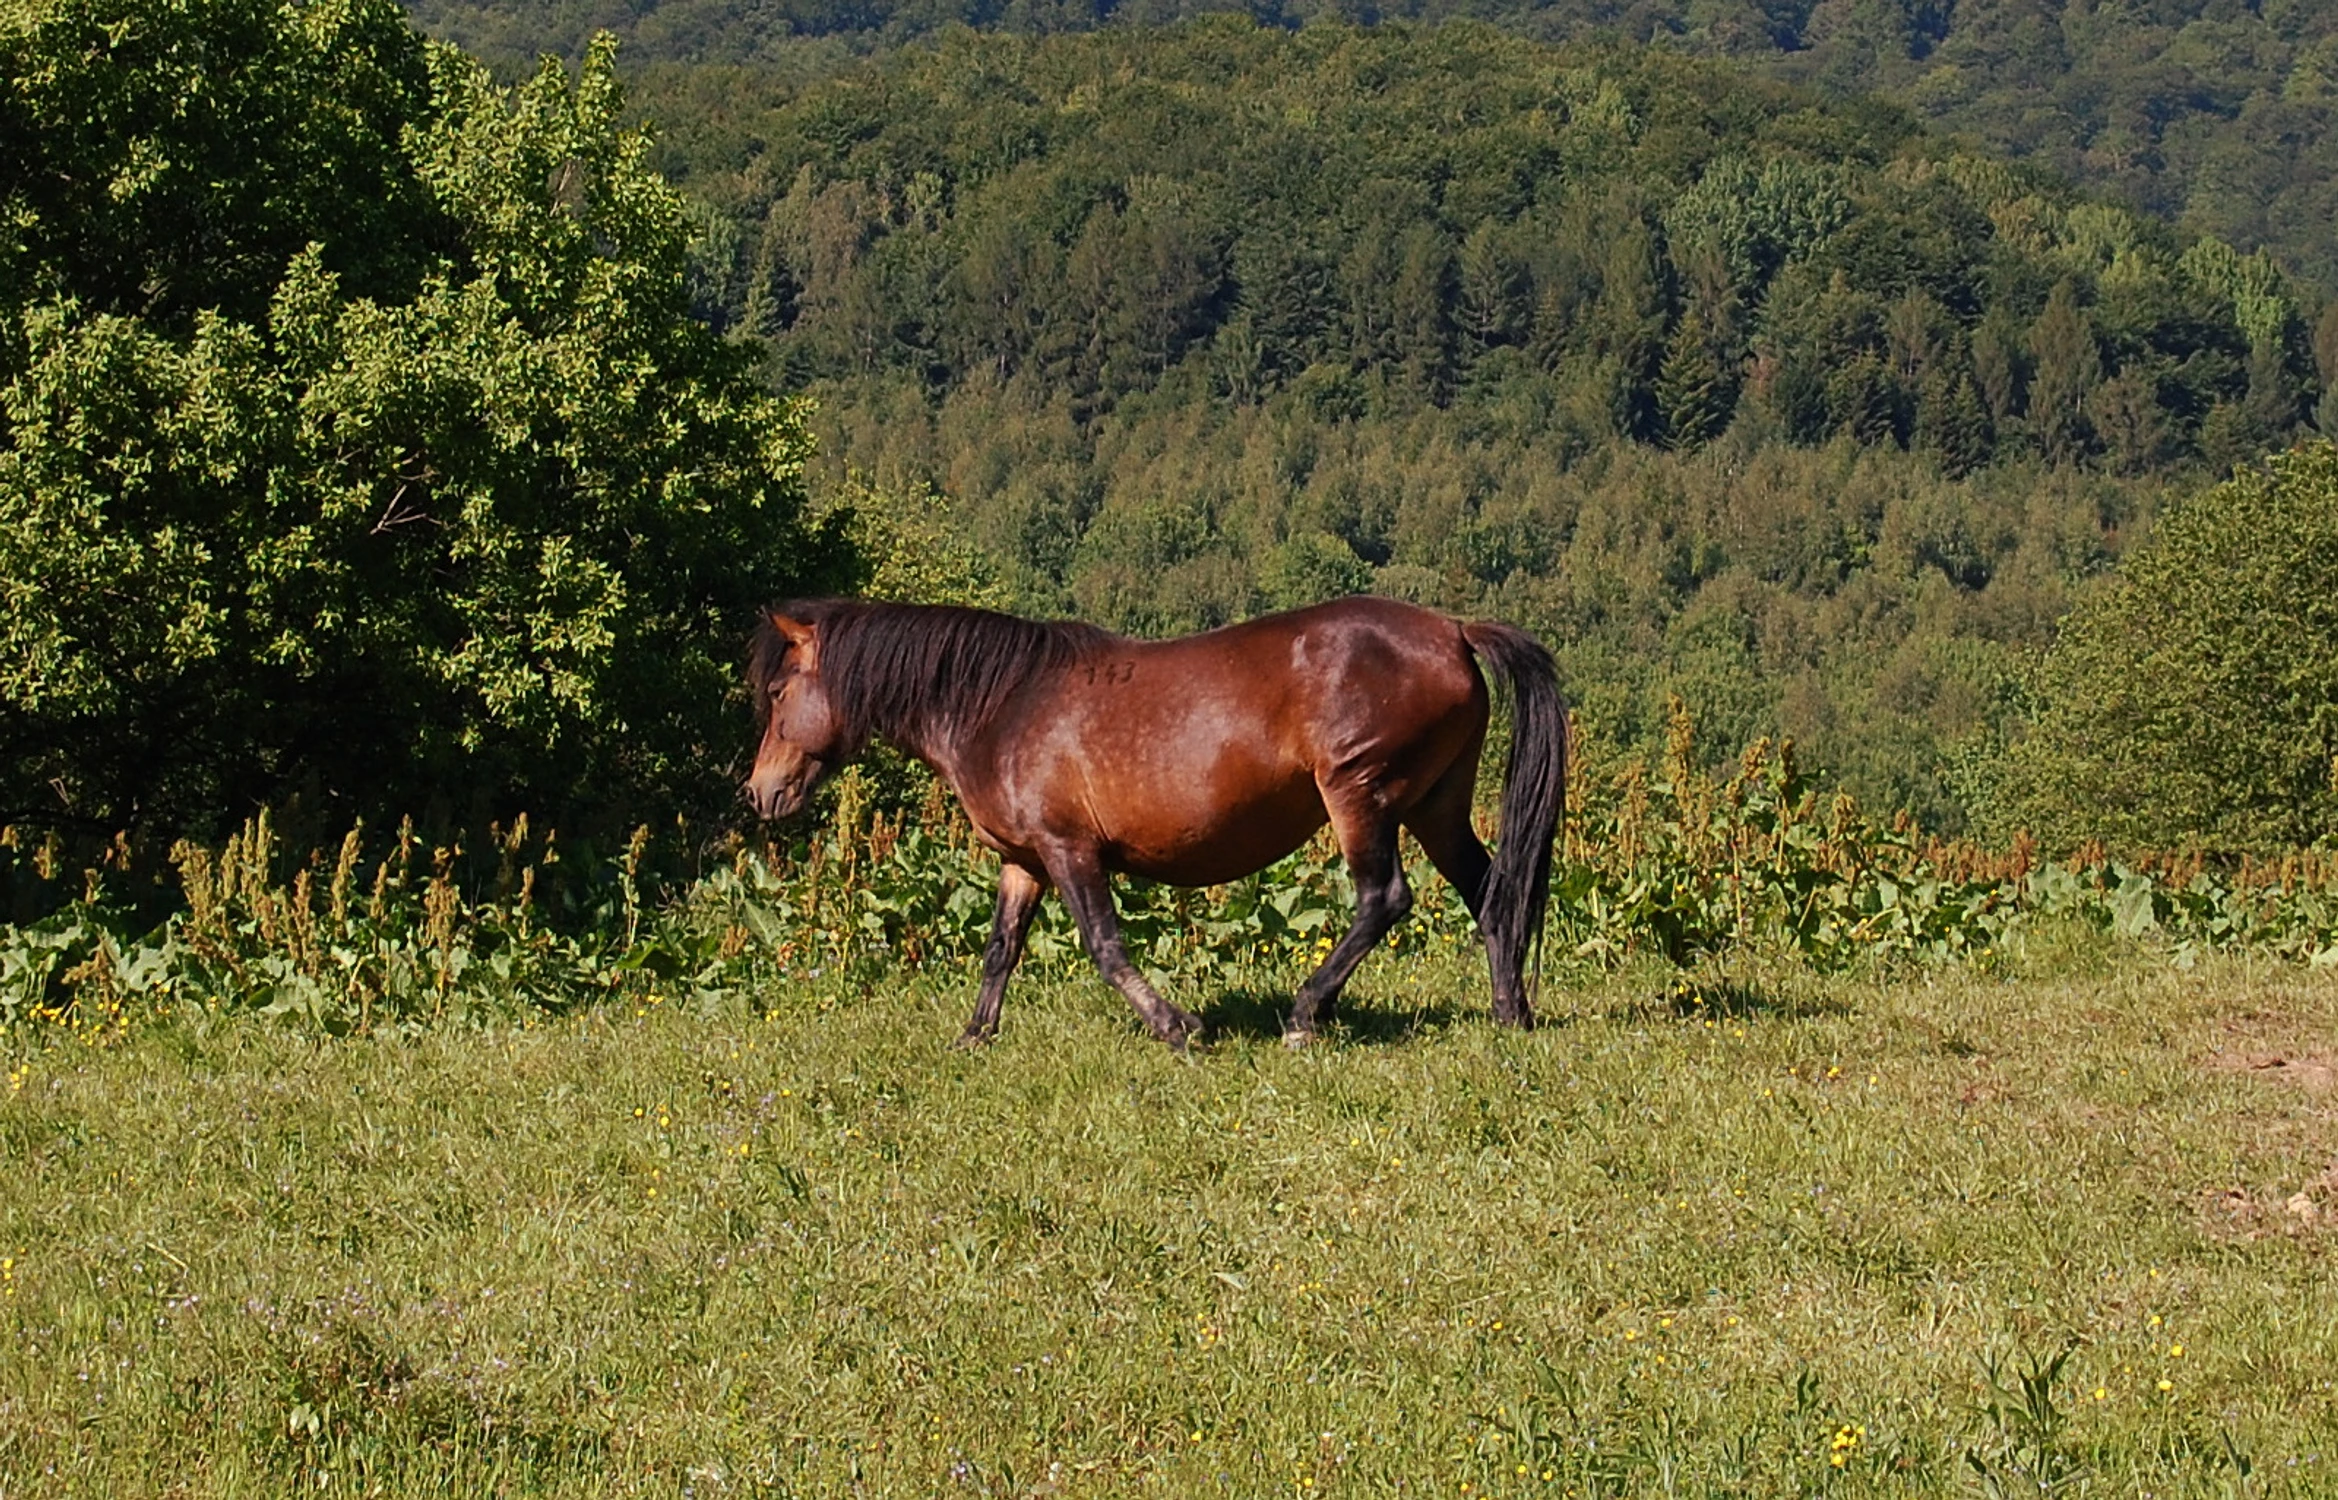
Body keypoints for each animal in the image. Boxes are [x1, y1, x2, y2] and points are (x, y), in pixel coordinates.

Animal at [738, 593, 1561, 1037]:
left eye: (778, 694)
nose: (759, 792)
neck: (1002, 704)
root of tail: (1452, 630)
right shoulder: (1022, 861)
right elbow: (1000, 949)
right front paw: (975, 1034)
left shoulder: (1070, 851)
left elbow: (1104, 946)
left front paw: (1177, 1026)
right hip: (1433, 803)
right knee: (1493, 893)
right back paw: (1510, 1013)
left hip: (1361, 794)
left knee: (1383, 898)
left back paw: (1304, 1014)